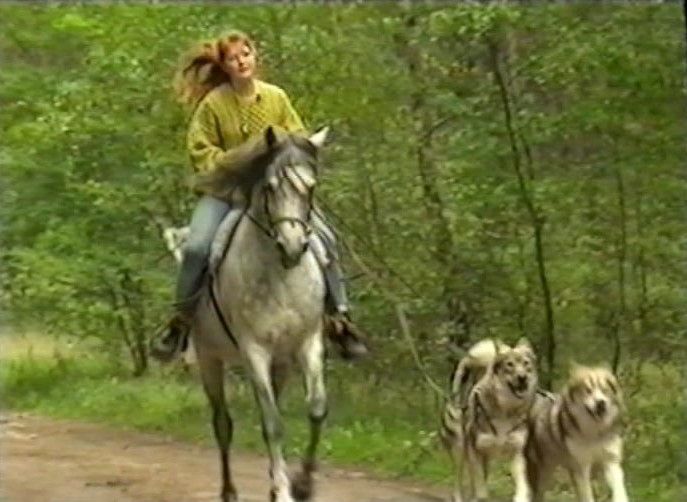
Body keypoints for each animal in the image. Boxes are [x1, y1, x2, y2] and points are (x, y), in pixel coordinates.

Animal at [192, 126, 332, 502]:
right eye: (269, 187)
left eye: (311, 187)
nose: (293, 246)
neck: (281, 275)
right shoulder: (254, 350)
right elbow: (273, 424)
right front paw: (284, 491)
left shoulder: (308, 342)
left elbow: (316, 408)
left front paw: (303, 485)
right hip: (209, 358)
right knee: (222, 423)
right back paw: (229, 491)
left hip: (280, 363)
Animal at [444, 340, 540, 502]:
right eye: (509, 364)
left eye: (526, 363)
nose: (522, 377)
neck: (506, 409)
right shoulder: (475, 451)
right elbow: (480, 485)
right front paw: (480, 496)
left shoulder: (518, 453)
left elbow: (521, 486)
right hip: (459, 450)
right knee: (458, 481)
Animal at [524, 364, 632, 502]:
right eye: (588, 390)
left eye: (605, 390)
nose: (601, 403)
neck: (595, 433)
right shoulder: (582, 468)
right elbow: (588, 496)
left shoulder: (611, 461)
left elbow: (619, 490)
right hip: (543, 473)